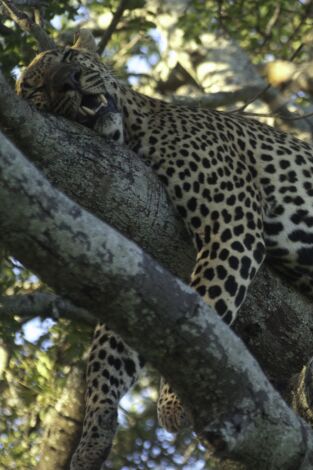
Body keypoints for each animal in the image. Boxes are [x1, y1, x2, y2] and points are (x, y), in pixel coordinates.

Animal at [16, 30, 313, 470]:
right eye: (36, 88)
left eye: (69, 56)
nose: (69, 81)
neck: (136, 130)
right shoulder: (143, 264)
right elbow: (114, 346)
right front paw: (93, 434)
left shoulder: (231, 225)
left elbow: (205, 323)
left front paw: (173, 402)